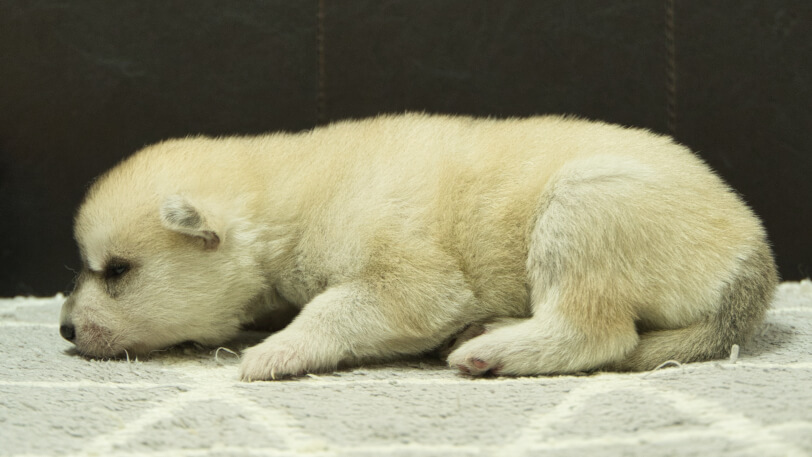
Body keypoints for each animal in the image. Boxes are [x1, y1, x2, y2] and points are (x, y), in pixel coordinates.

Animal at [60, 113, 776, 378]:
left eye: (116, 270)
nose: (64, 329)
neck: (283, 197)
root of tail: (753, 252)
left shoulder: (411, 283)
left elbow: (333, 309)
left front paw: (277, 350)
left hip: (584, 203)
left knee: (596, 331)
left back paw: (491, 350)